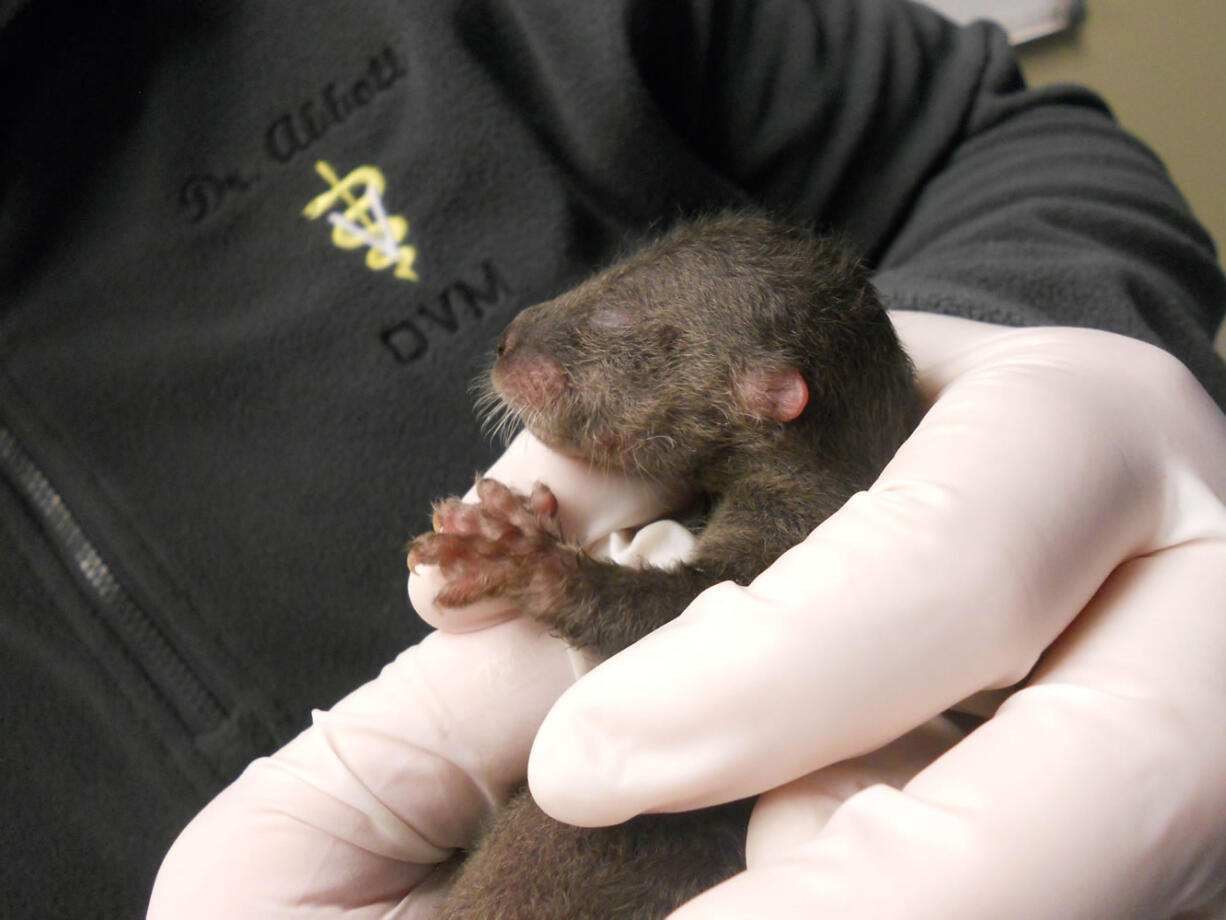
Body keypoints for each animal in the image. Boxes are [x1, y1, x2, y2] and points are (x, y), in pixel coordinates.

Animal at [407, 212, 921, 917]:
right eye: (607, 274)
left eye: (616, 316)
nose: (506, 341)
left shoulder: (797, 525)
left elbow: (664, 628)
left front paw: (520, 556)